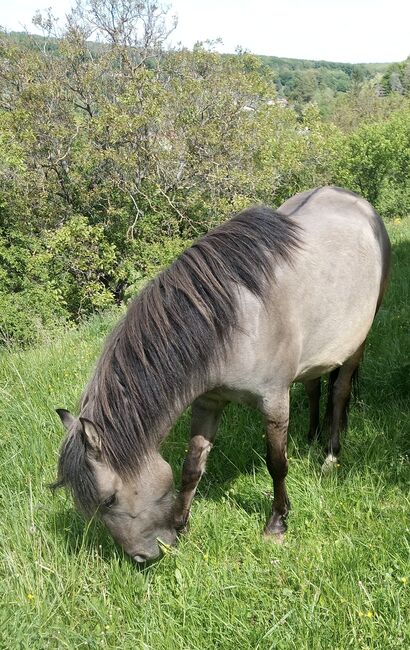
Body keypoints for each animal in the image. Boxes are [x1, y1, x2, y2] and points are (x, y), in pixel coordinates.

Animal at [52, 185, 390, 560]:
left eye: (109, 499)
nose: (144, 557)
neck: (231, 322)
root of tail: (355, 201)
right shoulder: (208, 403)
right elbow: (191, 467)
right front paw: (182, 524)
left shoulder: (274, 401)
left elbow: (276, 463)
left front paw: (277, 524)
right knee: (315, 386)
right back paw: (312, 435)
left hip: (357, 342)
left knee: (340, 391)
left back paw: (330, 454)